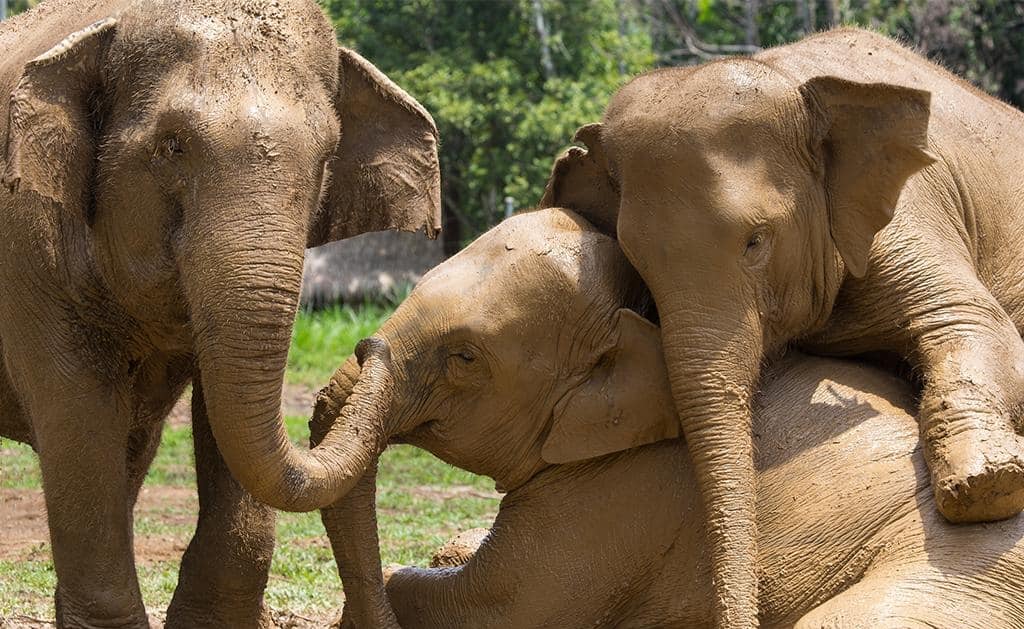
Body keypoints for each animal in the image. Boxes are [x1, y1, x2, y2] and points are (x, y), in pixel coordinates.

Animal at [0, 1, 439, 626]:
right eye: (172, 146)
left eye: (326, 159)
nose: (368, 346)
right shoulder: (26, 244)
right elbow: (77, 410)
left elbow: (223, 409)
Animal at [540, 27, 1024, 627]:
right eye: (636, 263)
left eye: (756, 241)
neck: (791, 82)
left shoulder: (909, 209)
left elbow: (973, 322)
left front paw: (985, 487)